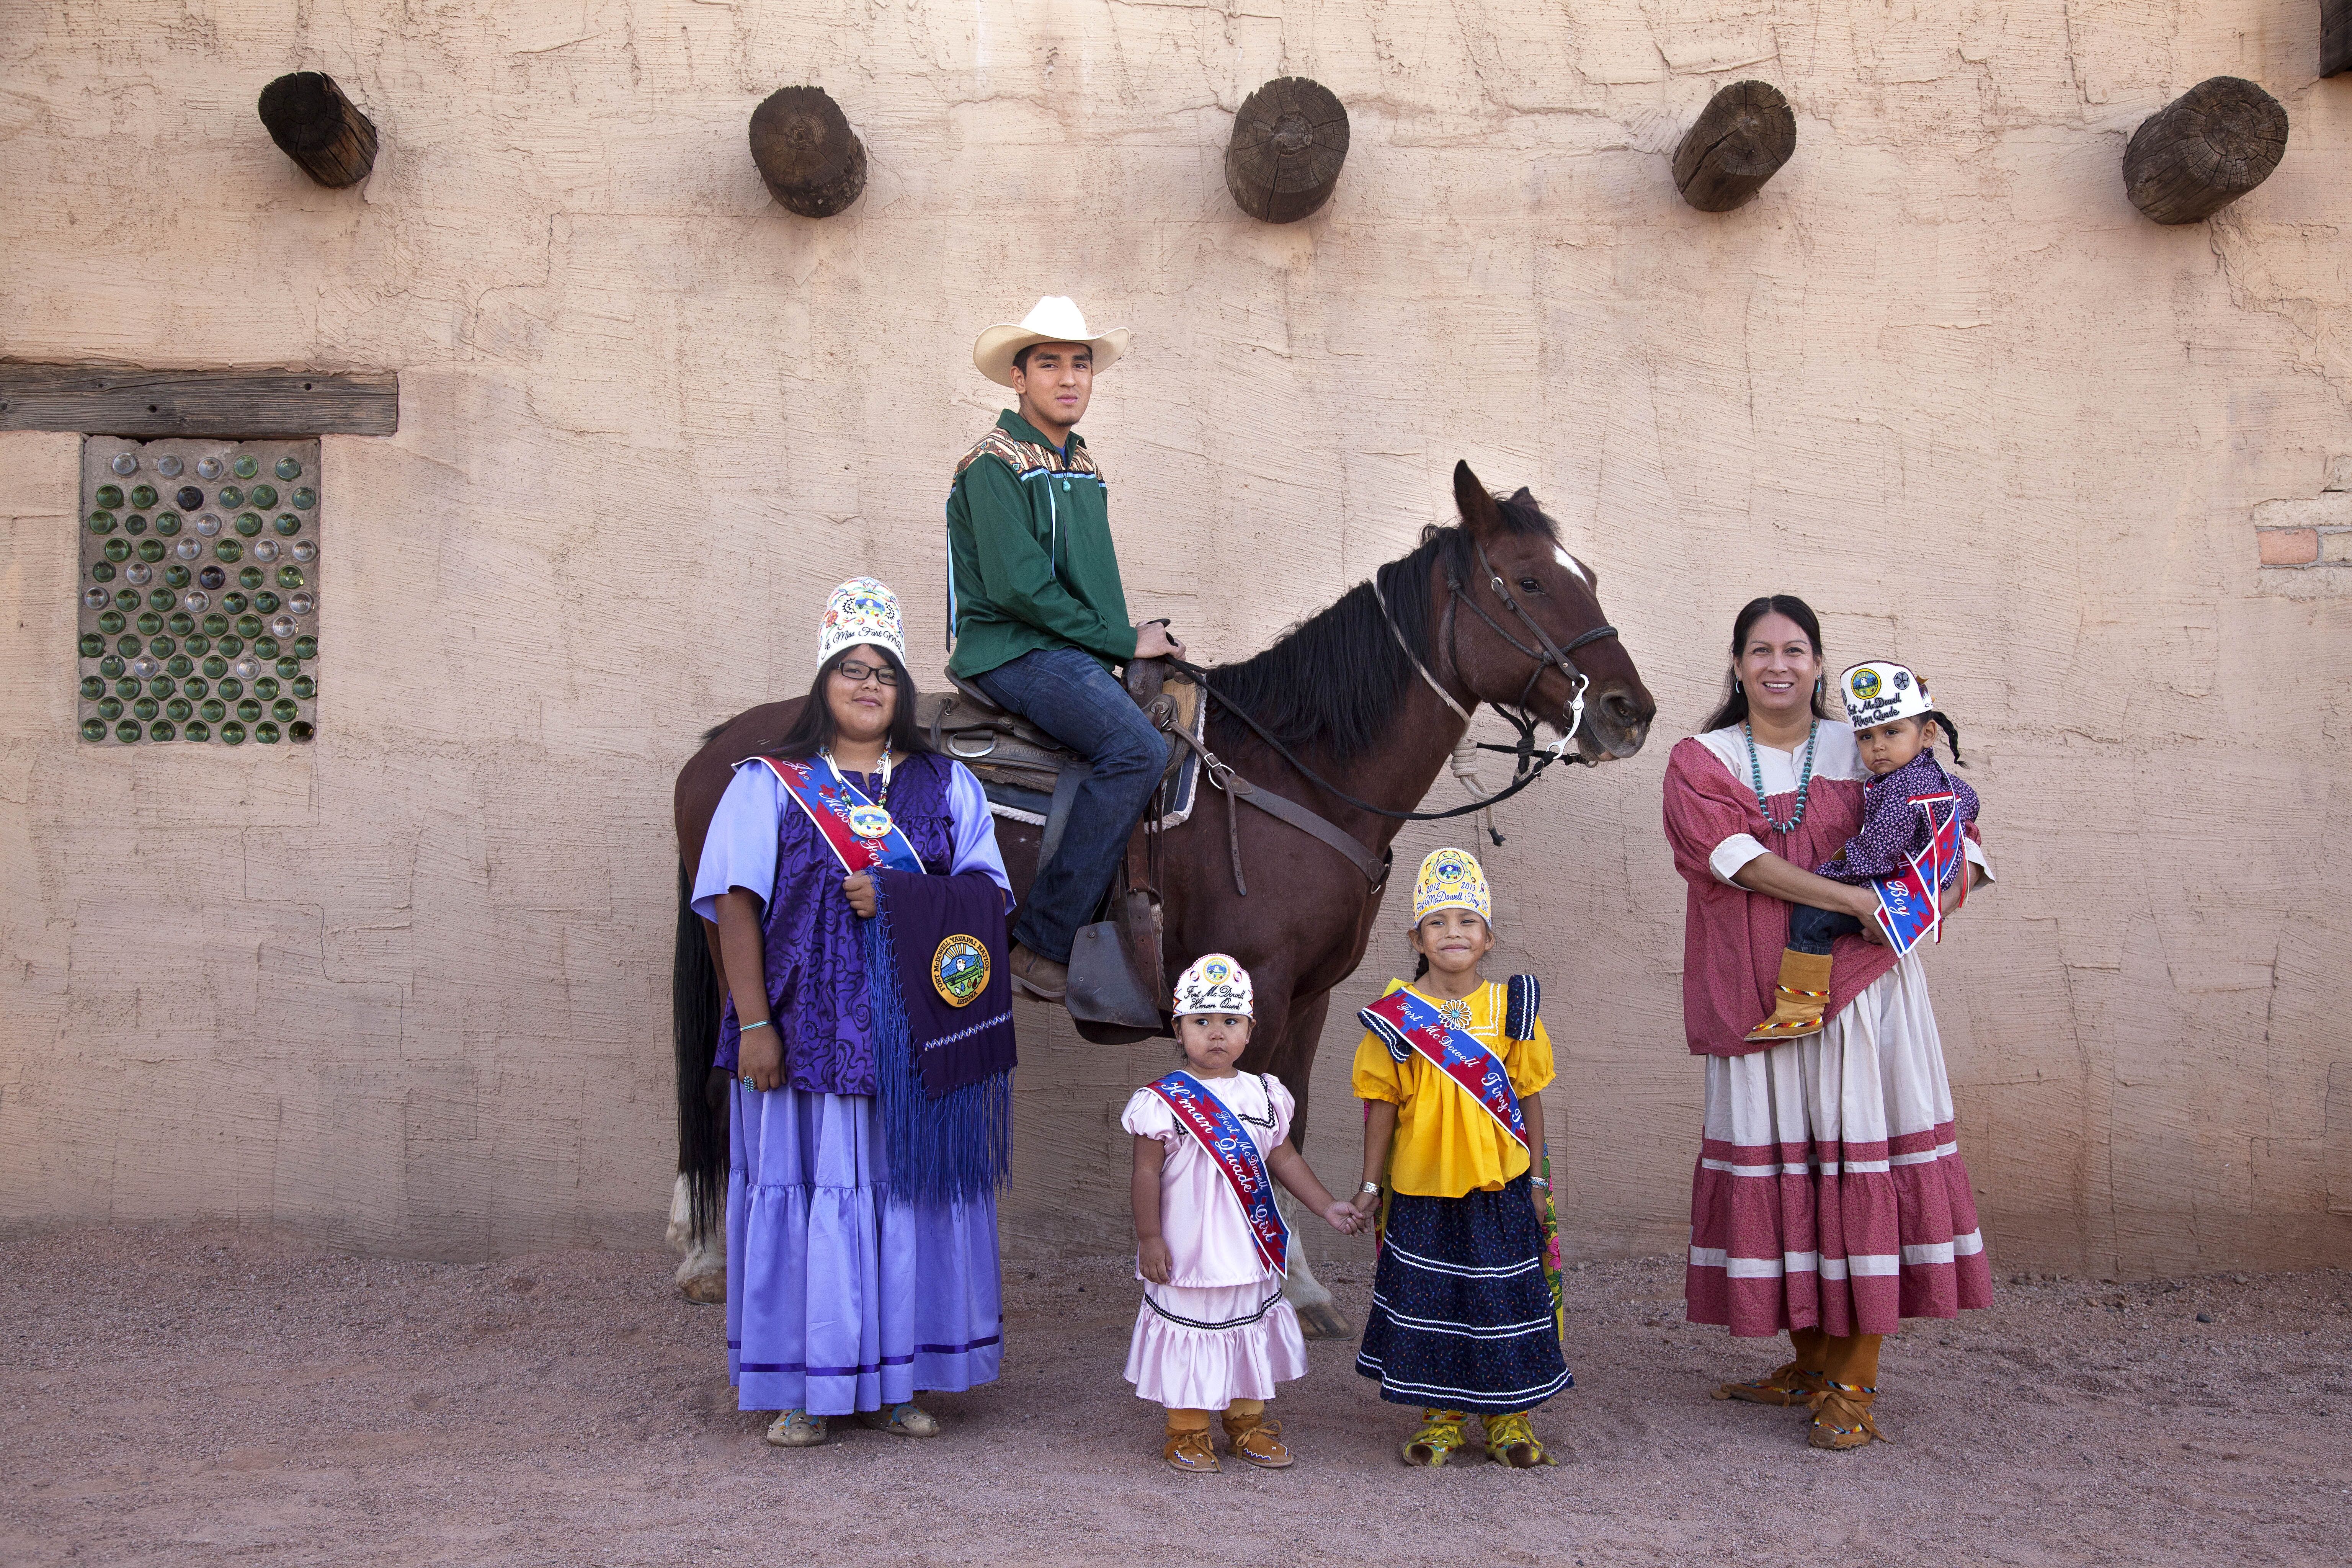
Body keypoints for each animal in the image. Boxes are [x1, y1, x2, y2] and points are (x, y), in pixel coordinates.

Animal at [663, 463, 1656, 1326]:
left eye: (1590, 575)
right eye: (1528, 581)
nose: (1627, 711)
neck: (1297, 770)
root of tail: (724, 744)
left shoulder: (1308, 996)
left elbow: (1286, 1116)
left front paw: (1301, 1286)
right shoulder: (1260, 983)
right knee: (721, 1084)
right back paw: (709, 1260)